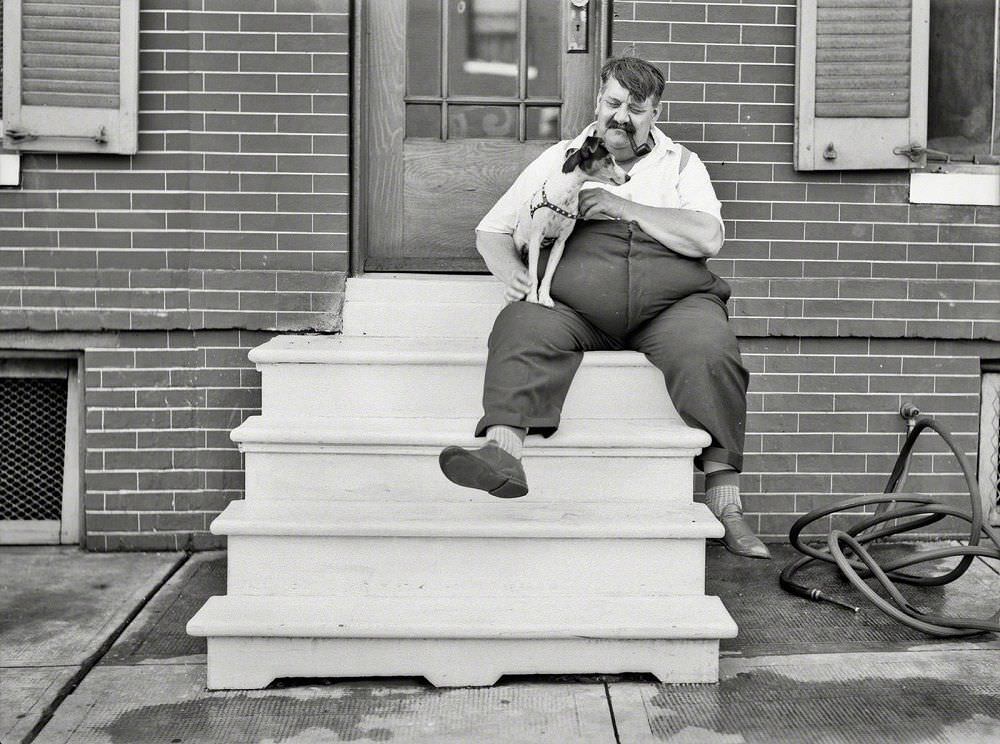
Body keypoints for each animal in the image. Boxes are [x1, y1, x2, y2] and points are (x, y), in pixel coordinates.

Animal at [516, 135, 624, 306]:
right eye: (608, 160)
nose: (628, 177)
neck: (566, 196)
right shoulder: (536, 239)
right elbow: (532, 273)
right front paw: (533, 297)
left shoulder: (560, 243)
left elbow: (549, 274)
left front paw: (545, 297)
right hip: (521, 244)